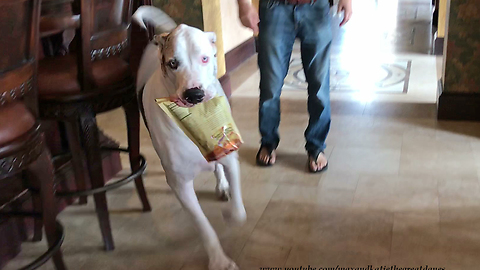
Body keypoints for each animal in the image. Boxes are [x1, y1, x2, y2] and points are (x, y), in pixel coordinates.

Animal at [133, 5, 246, 270]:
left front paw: (230, 214)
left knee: (217, 168)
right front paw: (219, 260)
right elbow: (204, 227)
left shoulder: (230, 155)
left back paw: (221, 185)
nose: (194, 94)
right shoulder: (180, 184)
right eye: (173, 63)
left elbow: (239, 212)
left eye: (205, 58)